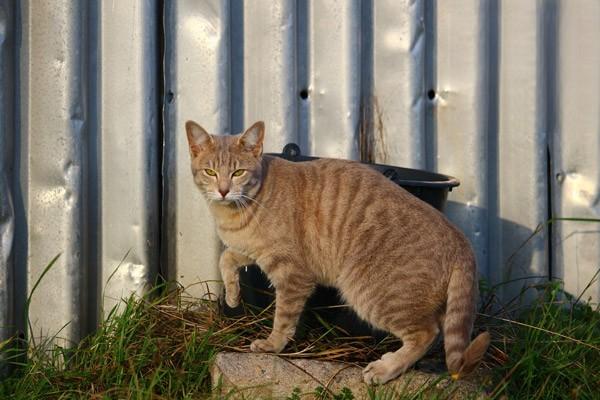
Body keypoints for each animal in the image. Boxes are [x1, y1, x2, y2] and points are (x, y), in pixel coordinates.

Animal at [184, 119, 488, 384]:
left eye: (238, 173)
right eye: (211, 172)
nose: (223, 191)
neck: (237, 211)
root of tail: (461, 240)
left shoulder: (292, 274)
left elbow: (283, 317)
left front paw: (273, 344)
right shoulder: (253, 251)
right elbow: (225, 259)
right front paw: (233, 296)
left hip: (373, 293)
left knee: (426, 333)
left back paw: (385, 368)